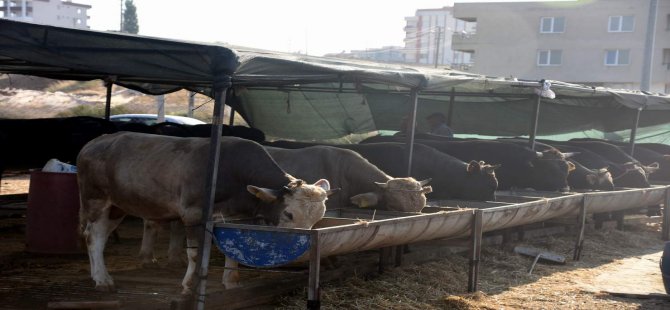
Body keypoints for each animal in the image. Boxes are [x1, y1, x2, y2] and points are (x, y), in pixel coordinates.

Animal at [77, 133, 334, 294]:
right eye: (289, 214)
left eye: (317, 218)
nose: (304, 248)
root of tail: (96, 141)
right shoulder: (193, 213)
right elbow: (194, 253)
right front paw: (189, 285)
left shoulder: (236, 217)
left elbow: (233, 250)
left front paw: (231, 283)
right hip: (95, 199)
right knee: (93, 236)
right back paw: (103, 280)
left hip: (117, 206)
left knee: (100, 236)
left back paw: (96, 275)